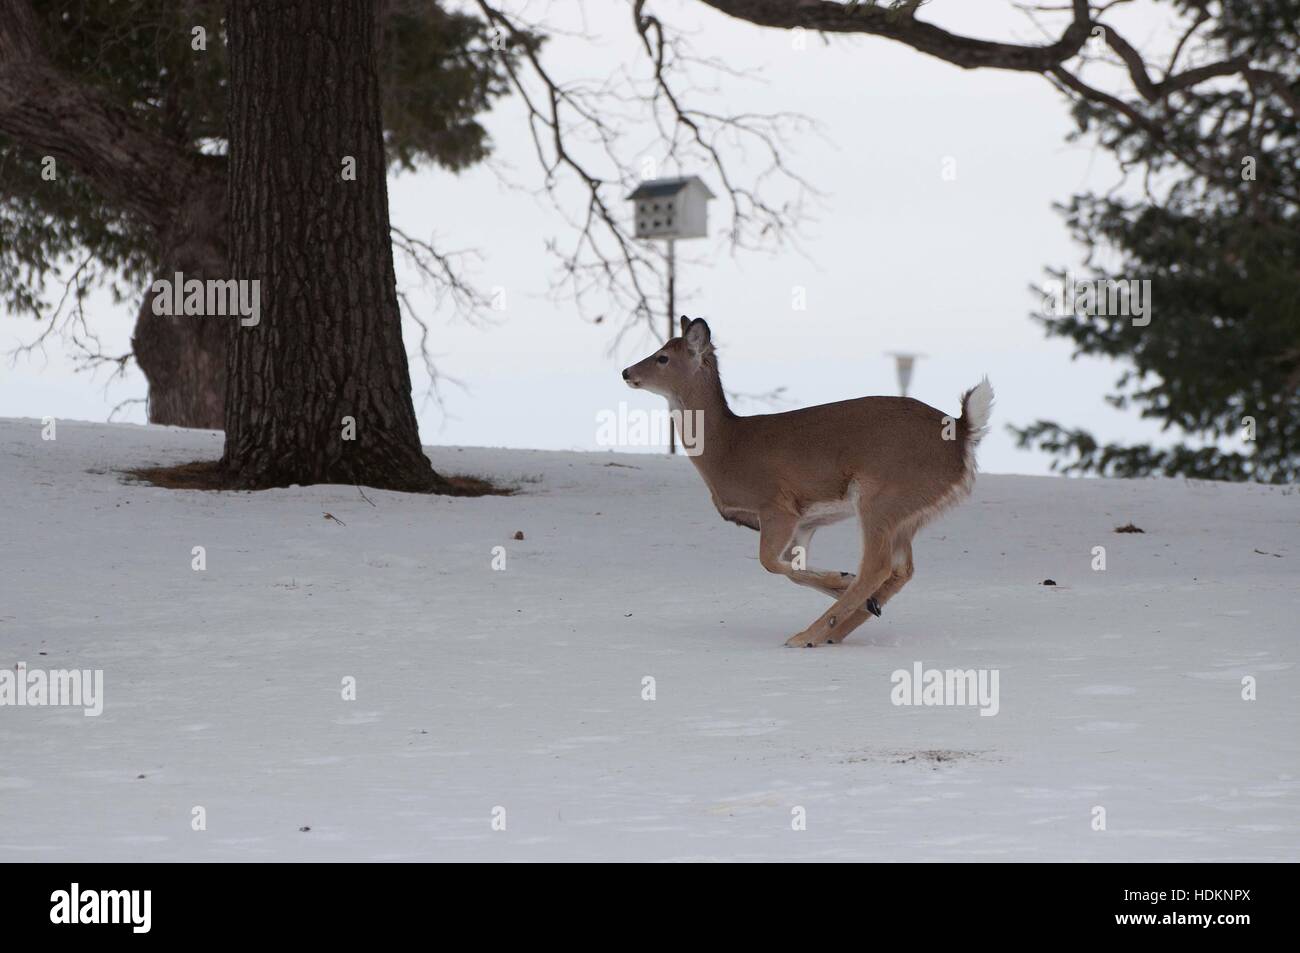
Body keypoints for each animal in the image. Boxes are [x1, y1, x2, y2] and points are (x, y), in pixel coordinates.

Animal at [621, 317, 993, 647]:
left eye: (662, 357)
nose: (626, 372)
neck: (727, 449)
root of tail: (961, 431)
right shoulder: (805, 522)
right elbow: (791, 568)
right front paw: (845, 585)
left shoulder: (777, 504)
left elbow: (769, 563)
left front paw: (840, 581)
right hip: (910, 512)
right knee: (902, 570)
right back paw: (837, 628)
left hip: (884, 495)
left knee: (877, 566)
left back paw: (807, 635)